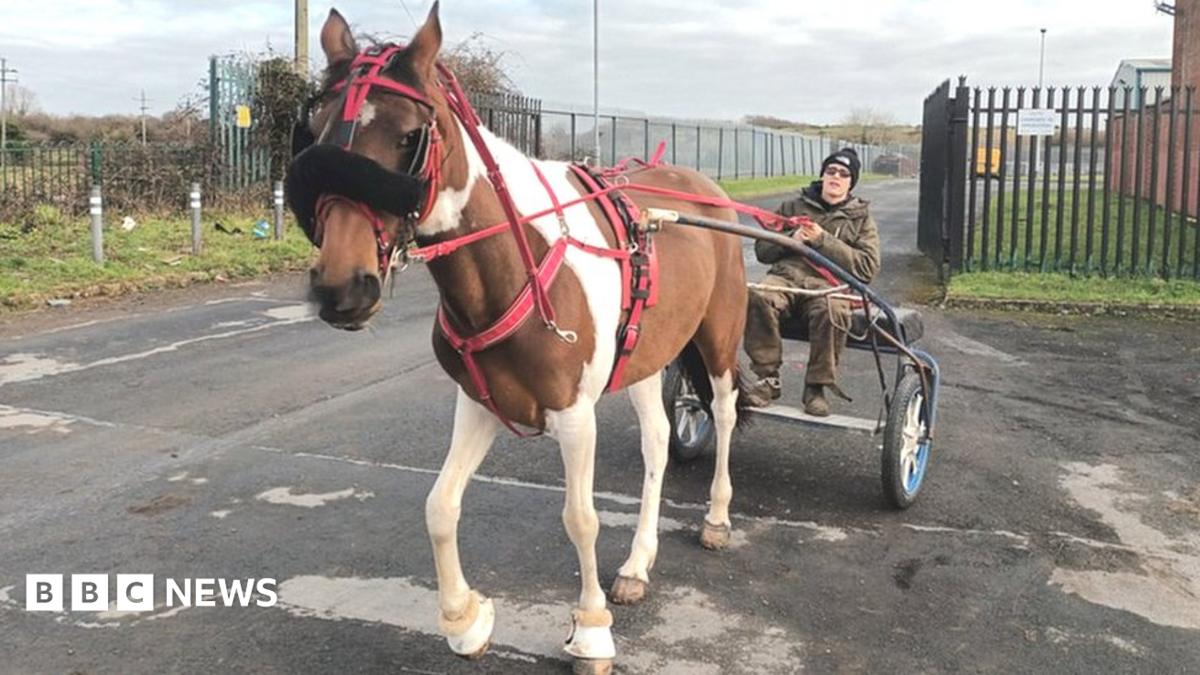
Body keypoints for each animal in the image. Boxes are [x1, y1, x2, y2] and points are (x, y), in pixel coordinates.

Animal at [288, 4, 750, 672]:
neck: (519, 262)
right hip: (644, 355)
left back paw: (716, 515)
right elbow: (440, 505)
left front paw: (590, 631)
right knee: (659, 442)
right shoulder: (479, 402)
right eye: (317, 132)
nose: (341, 287)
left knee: (725, 409)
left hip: (717, 335)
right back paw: (638, 562)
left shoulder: (575, 415)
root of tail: (699, 186)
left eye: (408, 137)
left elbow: (580, 519)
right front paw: (465, 620)